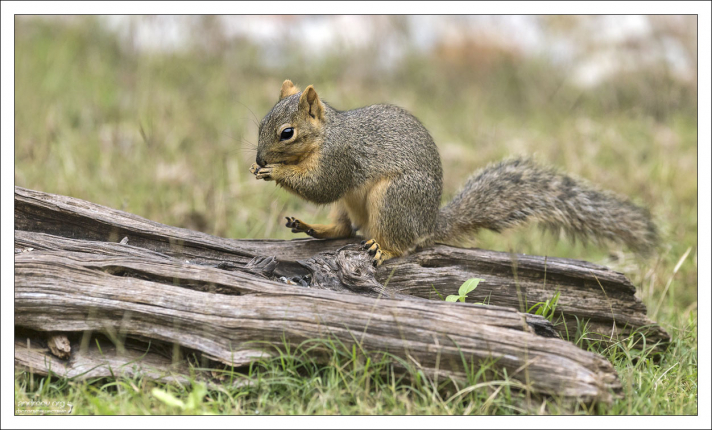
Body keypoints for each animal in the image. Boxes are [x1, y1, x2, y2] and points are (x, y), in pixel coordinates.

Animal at [250, 80, 658, 266]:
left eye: (287, 133)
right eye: (261, 124)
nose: (258, 156)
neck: (326, 134)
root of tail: (430, 223)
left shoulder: (341, 157)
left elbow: (321, 186)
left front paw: (274, 171)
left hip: (395, 198)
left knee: (398, 243)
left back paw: (384, 248)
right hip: (353, 205)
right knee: (343, 228)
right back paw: (311, 226)